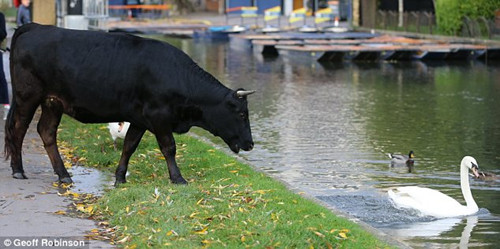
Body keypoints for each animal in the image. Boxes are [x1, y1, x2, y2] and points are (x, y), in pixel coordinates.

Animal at [3, 23, 254, 185]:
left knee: (46, 132)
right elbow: (169, 147)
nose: (250, 144)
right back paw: (18, 170)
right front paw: (178, 178)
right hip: (27, 96)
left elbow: (129, 146)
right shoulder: (158, 116)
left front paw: (120, 177)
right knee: (18, 129)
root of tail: (35, 26)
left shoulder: (140, 119)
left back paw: (63, 174)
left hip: (53, 102)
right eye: (242, 114)